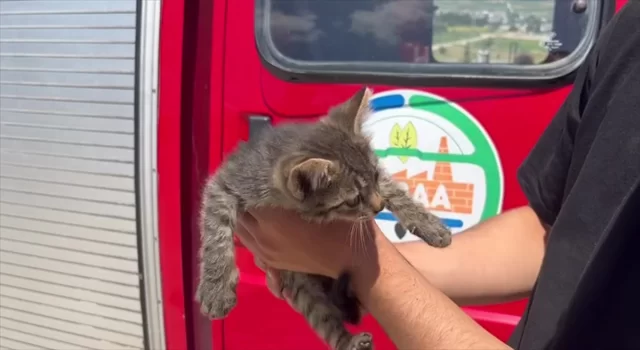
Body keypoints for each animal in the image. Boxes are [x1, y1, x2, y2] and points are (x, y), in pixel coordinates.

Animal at [198, 87, 452, 350]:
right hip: (301, 286)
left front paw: (428, 224)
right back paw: (349, 342)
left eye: (375, 175)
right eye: (353, 199)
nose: (379, 206)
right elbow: (216, 234)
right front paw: (216, 289)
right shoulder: (227, 182)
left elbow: (395, 192)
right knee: (323, 318)